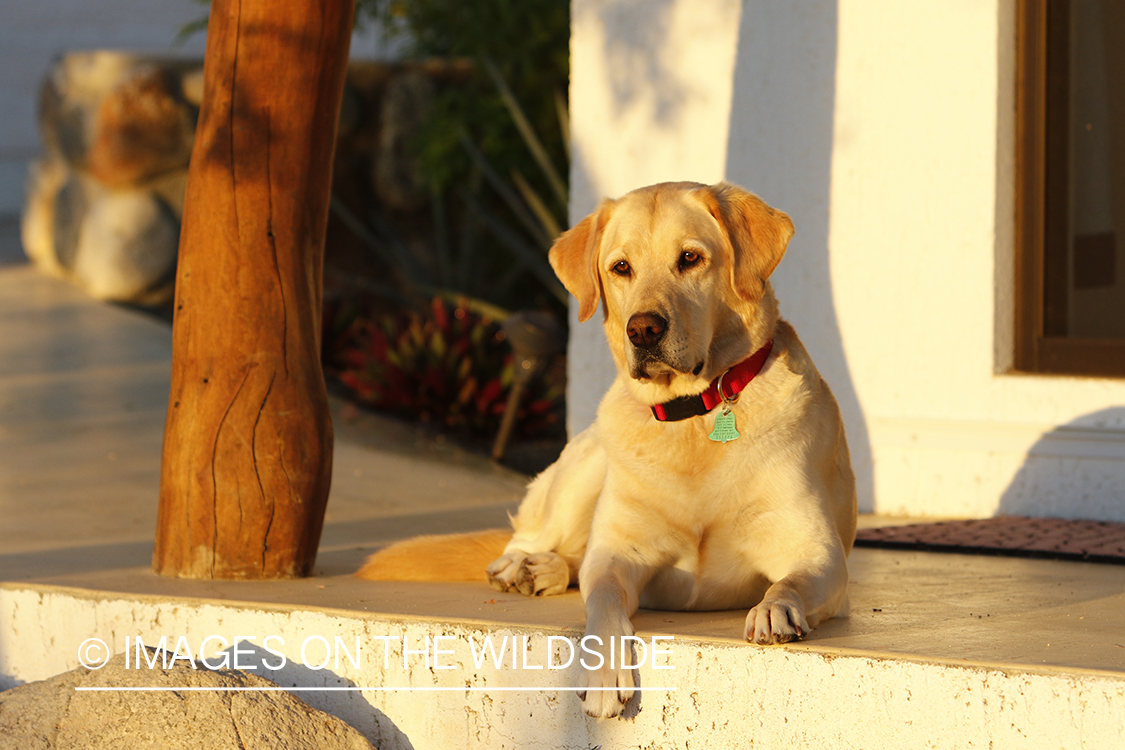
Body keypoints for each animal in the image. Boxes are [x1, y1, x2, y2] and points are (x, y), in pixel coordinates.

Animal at [355, 182, 855, 719]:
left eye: (690, 258)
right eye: (621, 268)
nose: (643, 329)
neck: (695, 417)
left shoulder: (818, 555)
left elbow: (788, 582)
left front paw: (773, 608)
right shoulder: (617, 555)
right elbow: (603, 601)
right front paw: (602, 673)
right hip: (586, 466)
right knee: (531, 538)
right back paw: (523, 565)